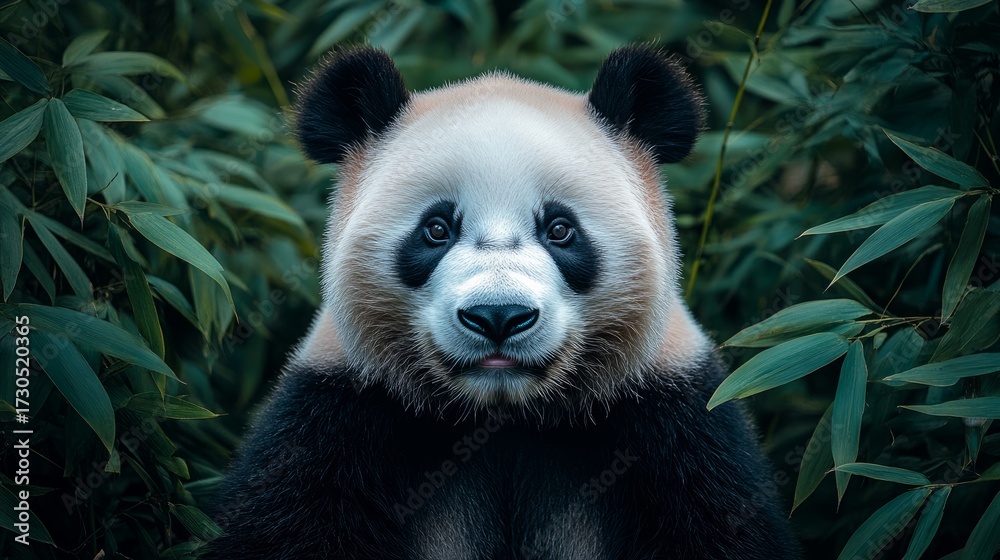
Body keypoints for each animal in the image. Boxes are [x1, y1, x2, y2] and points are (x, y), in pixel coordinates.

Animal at [209, 44, 799, 559]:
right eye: (437, 229)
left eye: (560, 229)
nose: (498, 316)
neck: (504, 415)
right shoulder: (336, 414)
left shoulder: (675, 419)